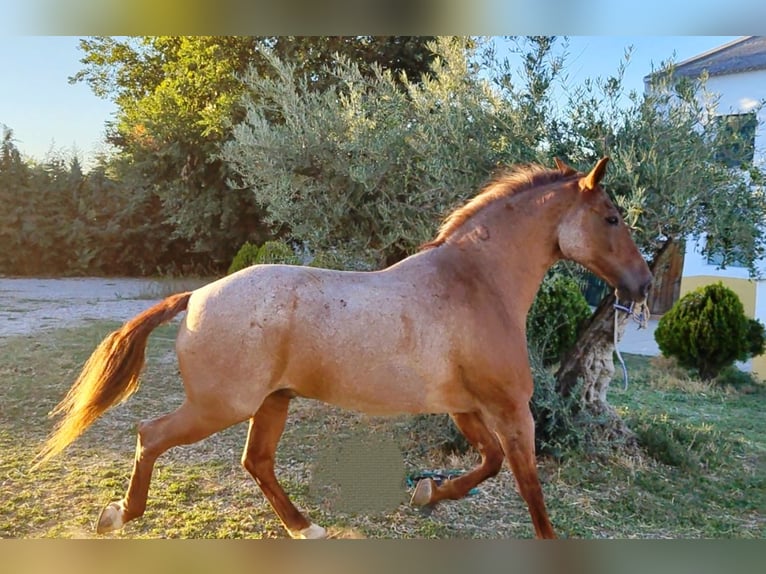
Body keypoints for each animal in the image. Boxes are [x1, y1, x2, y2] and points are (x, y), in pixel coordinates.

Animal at [37, 156, 656, 540]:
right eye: (611, 217)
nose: (644, 284)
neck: (476, 284)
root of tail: (196, 297)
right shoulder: (508, 409)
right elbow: (528, 484)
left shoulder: (465, 407)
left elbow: (491, 464)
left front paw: (427, 493)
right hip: (221, 406)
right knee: (152, 435)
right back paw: (119, 516)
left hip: (272, 402)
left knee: (256, 462)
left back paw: (304, 526)